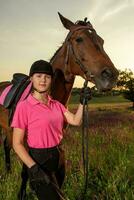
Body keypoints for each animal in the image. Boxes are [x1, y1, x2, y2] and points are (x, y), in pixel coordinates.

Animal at [0, 13, 118, 199]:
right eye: (79, 39)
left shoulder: (59, 144)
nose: (111, 75)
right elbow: (27, 172)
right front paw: (21, 193)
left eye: (101, 40)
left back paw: (8, 171)